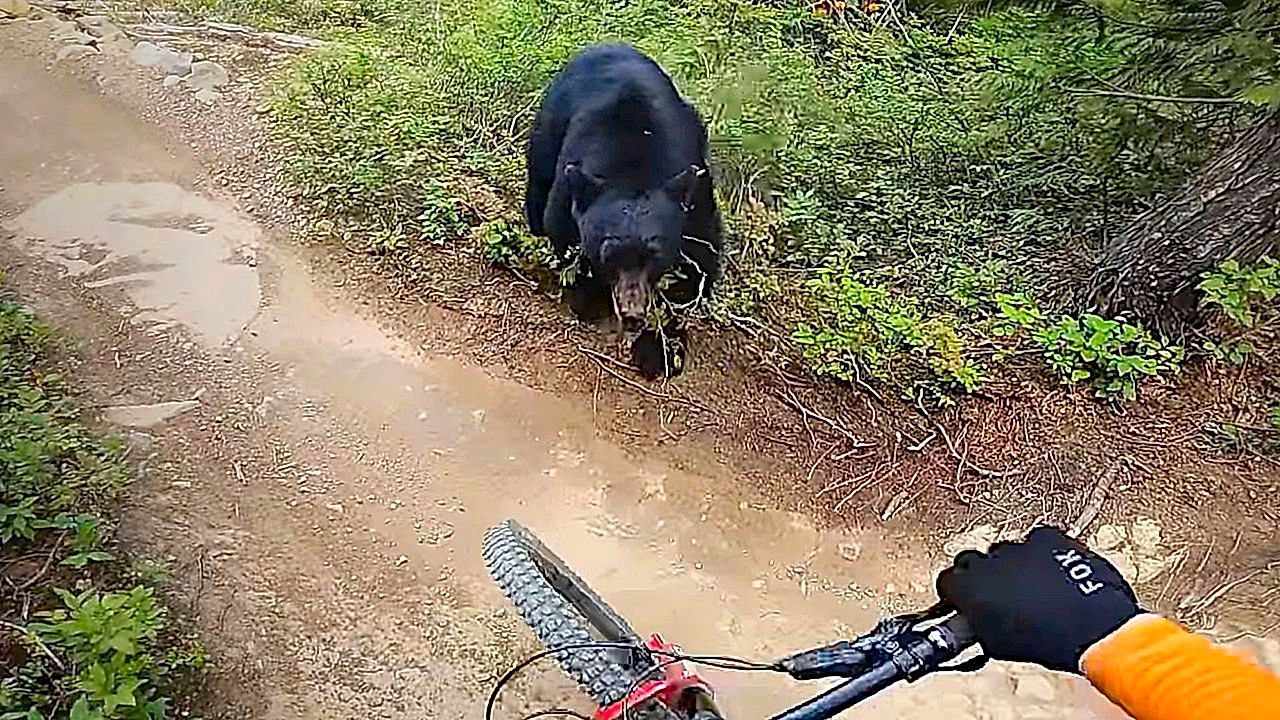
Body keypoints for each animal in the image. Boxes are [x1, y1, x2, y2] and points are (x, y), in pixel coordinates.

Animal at [524, 43, 722, 379]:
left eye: (655, 256)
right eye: (610, 254)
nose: (632, 313)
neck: (635, 166)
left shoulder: (695, 192)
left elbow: (697, 265)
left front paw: (659, 351)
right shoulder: (573, 179)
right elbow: (564, 232)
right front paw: (590, 299)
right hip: (549, 125)